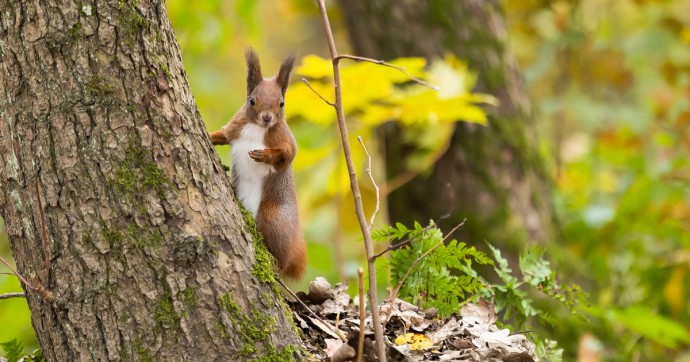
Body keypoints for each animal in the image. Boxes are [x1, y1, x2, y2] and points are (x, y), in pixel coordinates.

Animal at [208, 48, 306, 280]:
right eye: (252, 100)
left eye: (281, 103)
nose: (267, 118)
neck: (256, 128)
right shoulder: (236, 127)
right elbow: (223, 135)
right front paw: (209, 135)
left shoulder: (286, 141)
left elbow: (287, 155)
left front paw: (265, 155)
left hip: (273, 218)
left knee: (281, 260)